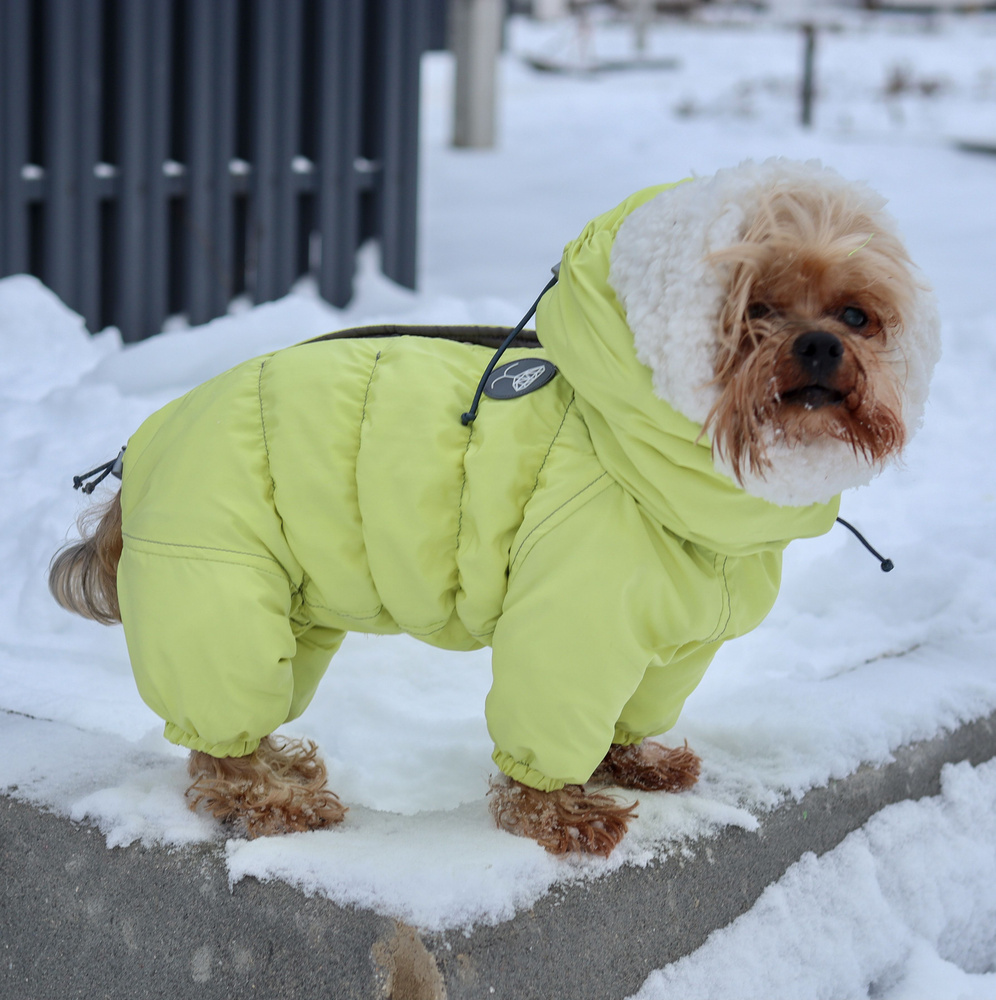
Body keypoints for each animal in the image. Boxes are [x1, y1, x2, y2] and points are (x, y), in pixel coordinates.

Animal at [50, 158, 936, 860]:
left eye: (856, 314)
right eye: (755, 309)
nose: (820, 345)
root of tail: (138, 454)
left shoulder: (676, 650)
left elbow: (632, 711)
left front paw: (636, 764)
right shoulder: (574, 620)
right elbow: (549, 716)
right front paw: (563, 816)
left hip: (287, 611)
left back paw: (283, 764)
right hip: (218, 585)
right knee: (216, 745)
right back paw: (276, 800)